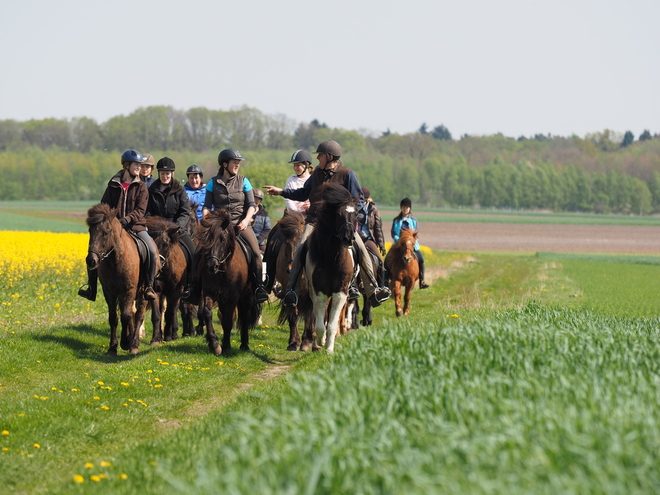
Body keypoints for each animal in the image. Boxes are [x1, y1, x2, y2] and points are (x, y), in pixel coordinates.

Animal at [84, 203, 160, 354]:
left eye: (106, 232)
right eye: (90, 231)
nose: (91, 260)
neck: (115, 260)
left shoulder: (129, 290)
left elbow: (126, 316)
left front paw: (126, 342)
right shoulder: (109, 292)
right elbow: (114, 317)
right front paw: (113, 347)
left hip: (144, 291)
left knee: (139, 314)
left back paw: (137, 343)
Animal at [195, 209, 260, 356]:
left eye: (222, 239)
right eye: (206, 240)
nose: (211, 266)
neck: (223, 270)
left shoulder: (232, 297)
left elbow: (227, 321)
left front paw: (226, 346)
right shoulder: (210, 292)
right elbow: (207, 313)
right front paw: (214, 344)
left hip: (247, 296)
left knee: (245, 317)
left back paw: (244, 345)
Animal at [302, 184, 358, 354]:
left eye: (356, 214)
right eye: (339, 214)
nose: (349, 238)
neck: (332, 259)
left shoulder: (340, 293)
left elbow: (332, 325)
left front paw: (329, 349)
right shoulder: (319, 292)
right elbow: (320, 325)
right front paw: (320, 341)